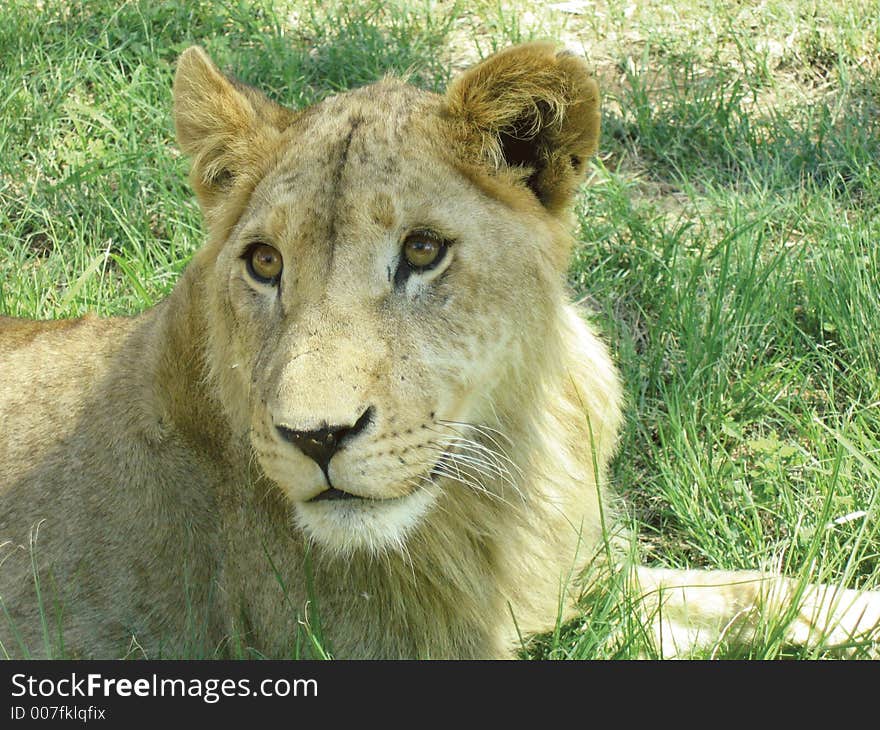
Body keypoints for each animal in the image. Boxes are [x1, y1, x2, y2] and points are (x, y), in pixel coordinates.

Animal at [1, 44, 880, 660]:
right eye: (264, 263)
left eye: (422, 251)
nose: (317, 438)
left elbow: (739, 591)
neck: (515, 458)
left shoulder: (570, 583)